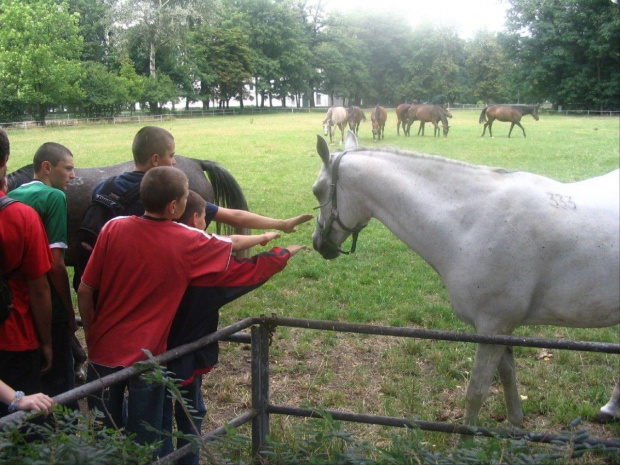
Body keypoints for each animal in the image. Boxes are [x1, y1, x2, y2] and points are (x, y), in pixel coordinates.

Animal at [312, 130, 620, 424]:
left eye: (317, 191)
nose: (318, 243)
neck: (473, 220)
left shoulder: (493, 327)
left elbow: (476, 393)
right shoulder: (501, 330)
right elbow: (508, 379)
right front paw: (515, 427)